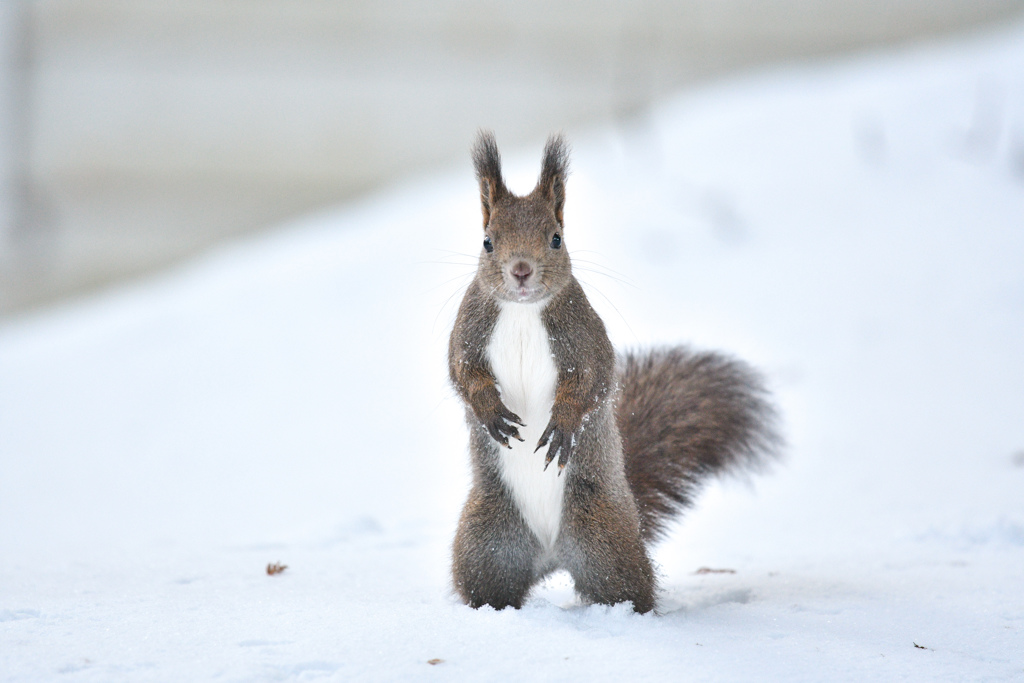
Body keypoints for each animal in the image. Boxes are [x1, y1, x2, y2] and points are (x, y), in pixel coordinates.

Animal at [448, 132, 774, 614]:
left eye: (556, 238)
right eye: (487, 242)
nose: (521, 270)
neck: (522, 311)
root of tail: (551, 556)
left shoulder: (584, 337)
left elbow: (594, 380)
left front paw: (564, 422)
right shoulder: (468, 328)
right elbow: (461, 371)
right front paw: (490, 410)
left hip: (602, 537)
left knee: (627, 587)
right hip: (486, 542)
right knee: (488, 586)